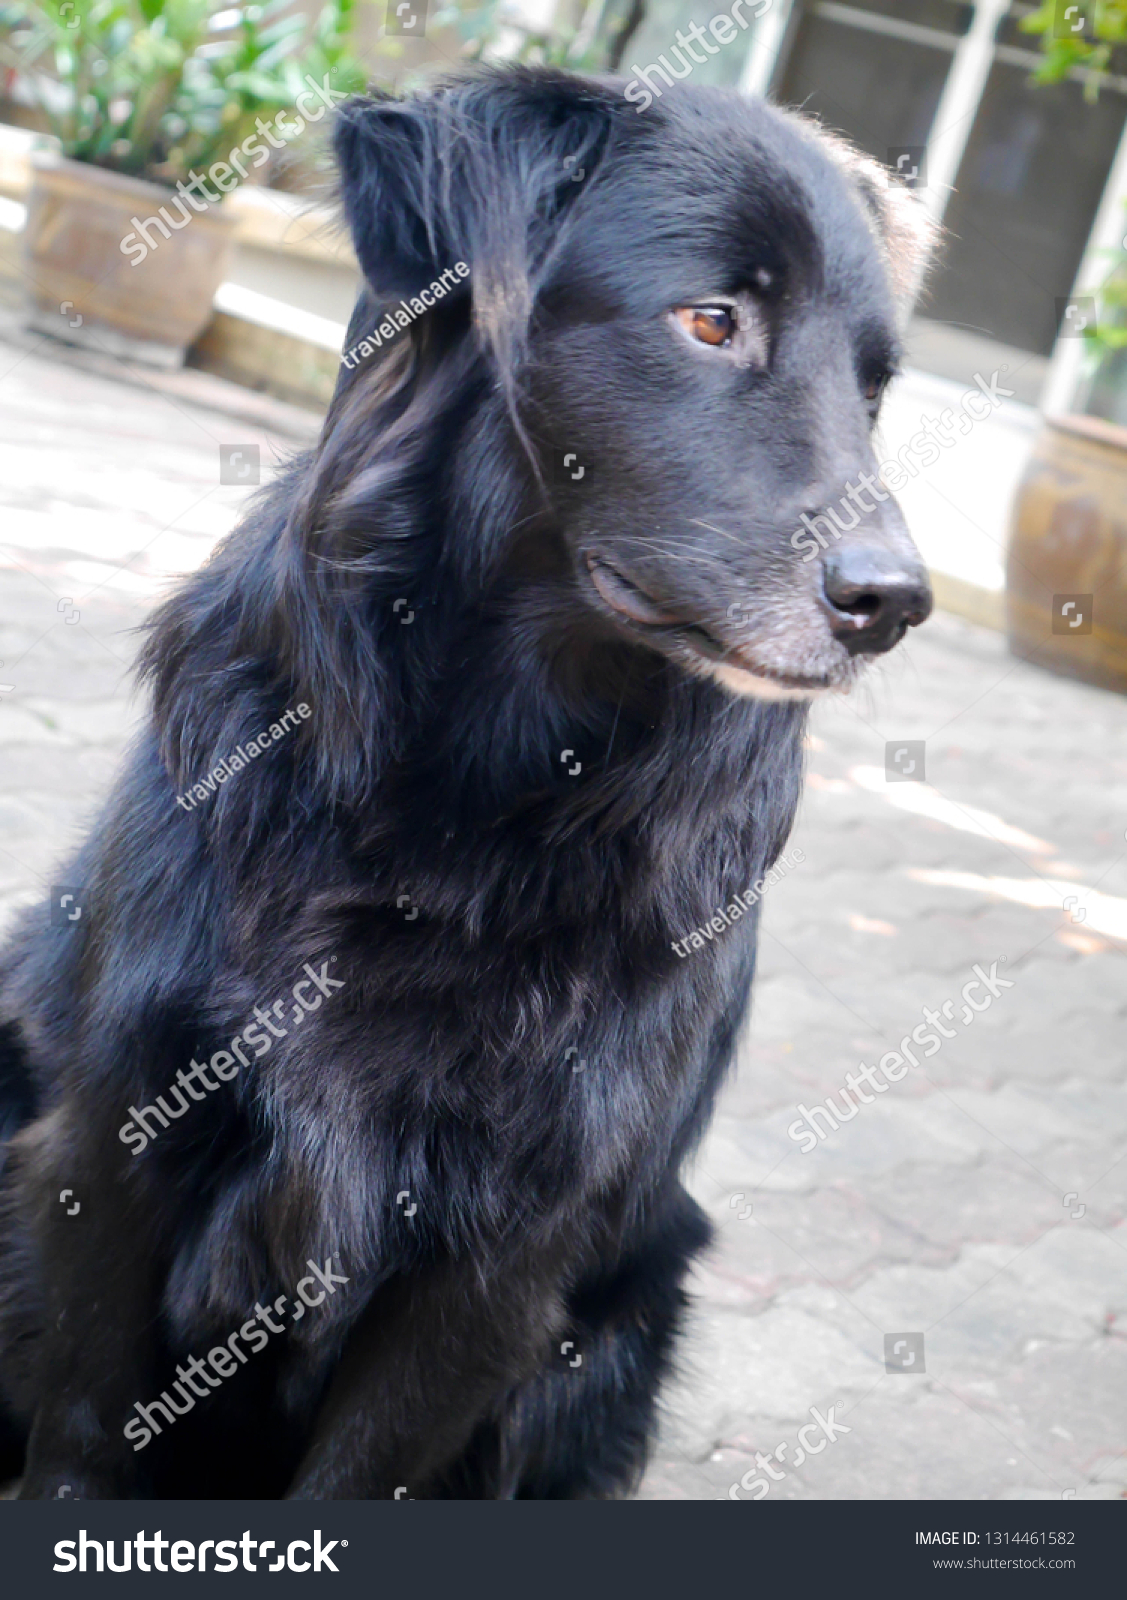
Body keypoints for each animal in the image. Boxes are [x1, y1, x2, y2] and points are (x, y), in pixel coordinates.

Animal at [0, 65, 928, 1497]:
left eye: (871, 389)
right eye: (709, 320)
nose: (893, 602)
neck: (478, 785)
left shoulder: (503, 1262)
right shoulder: (111, 1138)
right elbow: (86, 1444)